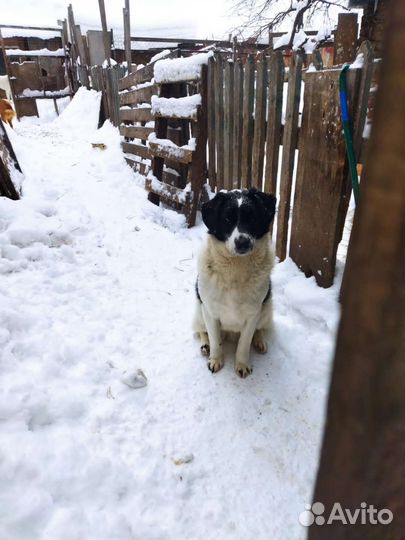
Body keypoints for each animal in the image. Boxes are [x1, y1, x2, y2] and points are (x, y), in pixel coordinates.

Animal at [192, 188, 274, 378]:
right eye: (227, 219)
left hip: (266, 309)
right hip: (199, 311)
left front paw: (242, 364)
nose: (242, 242)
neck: (236, 270)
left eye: (252, 218)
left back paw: (260, 341)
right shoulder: (210, 311)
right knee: (201, 330)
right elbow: (215, 341)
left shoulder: (253, 313)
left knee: (260, 329)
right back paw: (205, 345)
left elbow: (244, 343)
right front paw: (216, 360)